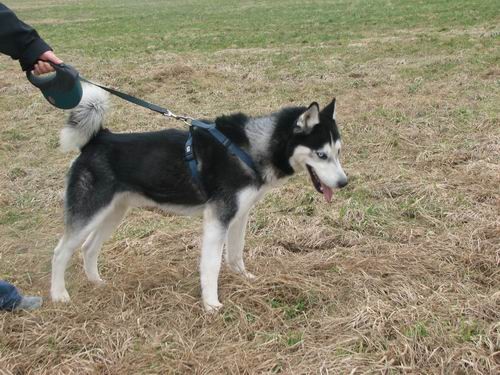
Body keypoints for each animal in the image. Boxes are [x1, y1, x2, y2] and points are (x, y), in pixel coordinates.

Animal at [51, 85, 348, 312]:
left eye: (338, 151)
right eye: (321, 155)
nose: (344, 182)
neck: (251, 148)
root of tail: (98, 139)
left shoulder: (239, 215)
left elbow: (236, 254)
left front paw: (244, 278)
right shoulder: (218, 217)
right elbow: (211, 265)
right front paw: (211, 304)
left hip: (112, 213)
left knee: (89, 248)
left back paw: (97, 283)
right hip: (90, 213)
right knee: (60, 252)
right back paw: (59, 295)